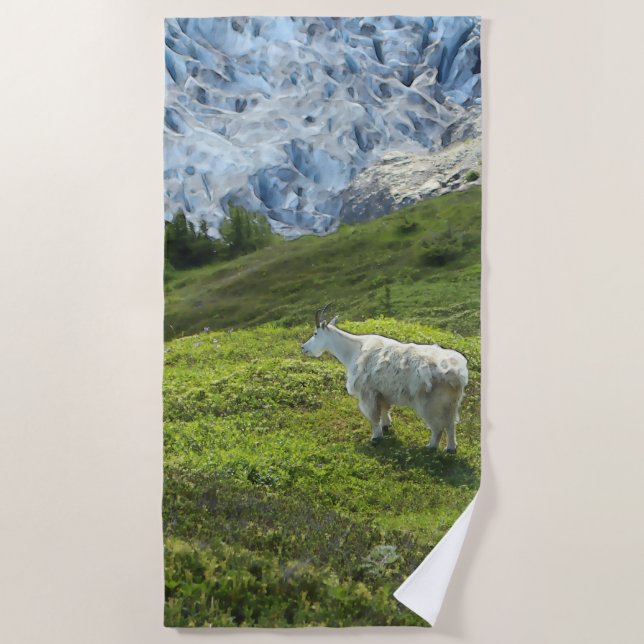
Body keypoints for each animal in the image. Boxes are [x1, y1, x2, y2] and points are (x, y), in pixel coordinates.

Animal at [301, 305, 468, 453]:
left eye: (315, 333)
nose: (303, 348)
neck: (354, 350)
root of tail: (456, 373)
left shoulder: (367, 392)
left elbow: (373, 416)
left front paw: (375, 437)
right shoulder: (381, 392)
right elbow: (384, 409)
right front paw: (386, 426)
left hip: (431, 403)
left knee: (438, 426)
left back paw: (431, 446)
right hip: (451, 403)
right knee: (451, 424)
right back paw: (451, 448)